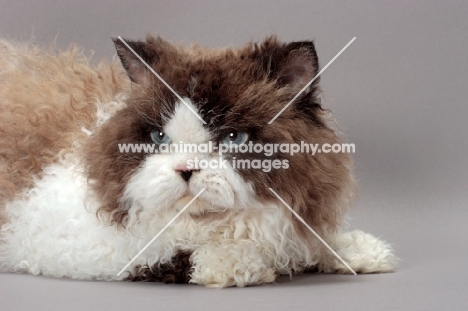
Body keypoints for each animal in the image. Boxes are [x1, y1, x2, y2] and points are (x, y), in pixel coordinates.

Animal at [0, 34, 396, 288]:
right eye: (159, 138)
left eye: (233, 138)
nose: (185, 169)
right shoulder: (70, 242)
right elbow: (183, 256)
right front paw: (247, 265)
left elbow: (312, 240)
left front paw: (365, 252)